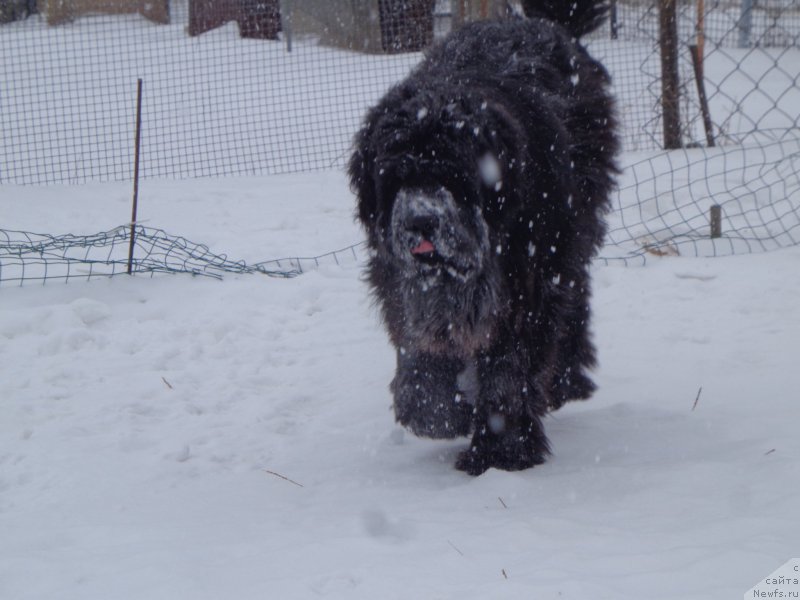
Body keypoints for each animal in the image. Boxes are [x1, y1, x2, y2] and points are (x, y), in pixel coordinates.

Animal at [350, 1, 620, 478]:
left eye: (455, 175)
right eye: (395, 175)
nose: (422, 221)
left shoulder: (525, 283)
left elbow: (508, 368)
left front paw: (500, 450)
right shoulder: (403, 282)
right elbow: (422, 344)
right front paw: (435, 410)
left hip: (570, 233)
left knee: (573, 299)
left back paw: (566, 381)